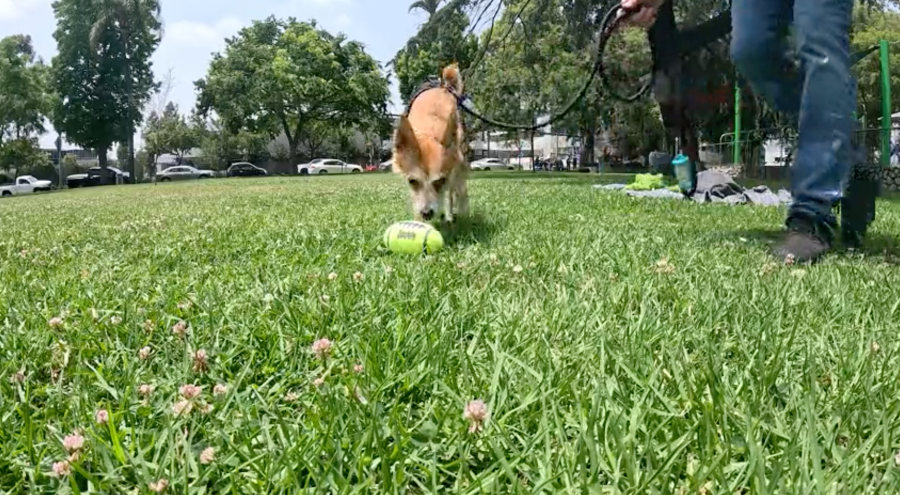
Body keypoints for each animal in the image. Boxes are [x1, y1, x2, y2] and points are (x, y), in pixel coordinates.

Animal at [392, 64, 468, 223]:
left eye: (440, 181)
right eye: (412, 181)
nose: (426, 213)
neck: (429, 129)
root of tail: (443, 87)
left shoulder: (455, 170)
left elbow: (454, 191)